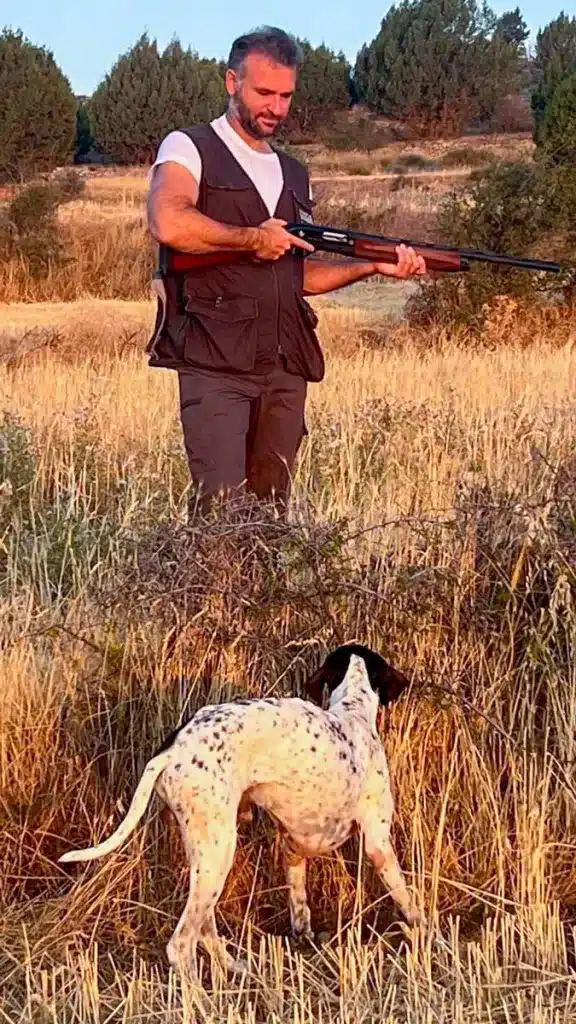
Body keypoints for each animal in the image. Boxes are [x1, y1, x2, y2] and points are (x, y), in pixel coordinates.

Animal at [58, 643, 424, 978]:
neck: (351, 713)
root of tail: (172, 750)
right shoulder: (378, 844)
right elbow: (406, 897)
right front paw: (425, 931)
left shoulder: (293, 848)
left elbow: (299, 905)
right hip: (218, 851)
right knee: (182, 943)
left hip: (205, 856)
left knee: (205, 926)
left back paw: (232, 966)